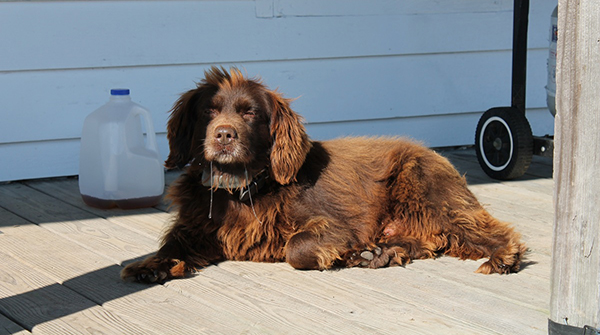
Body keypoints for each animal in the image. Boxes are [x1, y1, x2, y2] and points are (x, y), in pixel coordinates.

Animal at [122, 66, 524, 284]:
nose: (223, 135)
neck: (240, 187)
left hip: (425, 188)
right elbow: (171, 244)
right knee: (427, 241)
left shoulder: (336, 225)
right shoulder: (196, 225)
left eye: (250, 113)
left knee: (484, 229)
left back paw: (504, 257)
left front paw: (345, 254)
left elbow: (295, 248)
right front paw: (149, 266)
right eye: (208, 110)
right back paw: (383, 253)